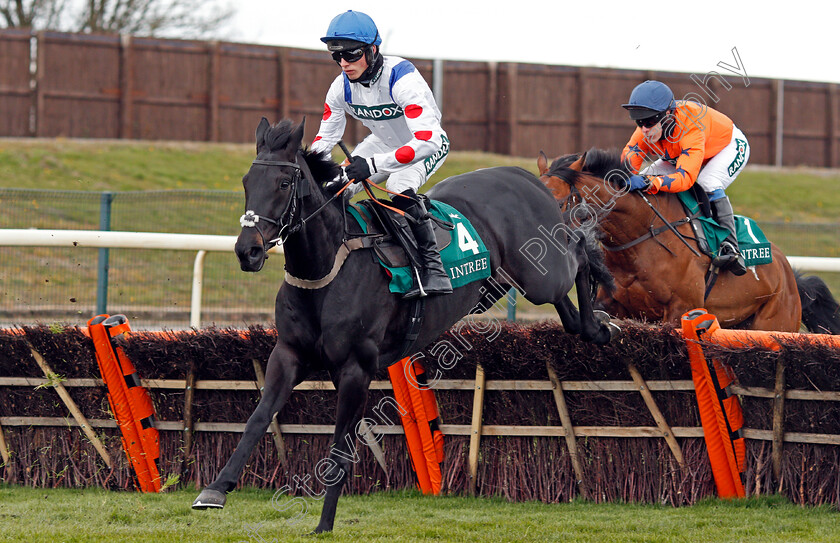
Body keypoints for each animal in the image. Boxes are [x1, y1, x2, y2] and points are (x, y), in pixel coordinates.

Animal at [194, 118, 612, 532]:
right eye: (247, 182)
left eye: (283, 183)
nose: (247, 250)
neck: (328, 267)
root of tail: (527, 177)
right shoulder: (289, 355)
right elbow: (258, 418)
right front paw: (215, 489)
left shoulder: (356, 368)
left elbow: (340, 447)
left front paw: (324, 523)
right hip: (510, 284)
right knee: (569, 312)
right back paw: (595, 323)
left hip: (542, 276)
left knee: (577, 249)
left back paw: (602, 315)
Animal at [540, 149, 840, 336]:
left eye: (559, 202)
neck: (639, 240)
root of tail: (789, 275)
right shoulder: (609, 302)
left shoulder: (680, 311)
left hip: (774, 323)